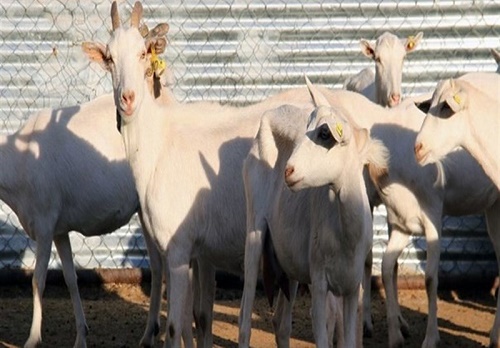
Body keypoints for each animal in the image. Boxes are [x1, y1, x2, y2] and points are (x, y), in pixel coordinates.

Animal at [0, 21, 182, 348]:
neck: (19, 160)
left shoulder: (44, 223)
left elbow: (38, 279)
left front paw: (32, 339)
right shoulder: (59, 229)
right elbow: (70, 279)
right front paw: (81, 335)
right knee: (158, 265)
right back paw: (149, 333)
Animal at [239, 79, 390, 348]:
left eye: (324, 134)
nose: (288, 171)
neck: (345, 237)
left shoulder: (352, 288)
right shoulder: (320, 284)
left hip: (287, 257)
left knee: (281, 323)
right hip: (254, 230)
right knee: (244, 322)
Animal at [320, 85, 500, 348]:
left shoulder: (433, 217)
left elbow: (430, 278)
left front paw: (431, 338)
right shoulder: (403, 223)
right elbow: (386, 269)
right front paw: (395, 335)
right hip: (492, 207)